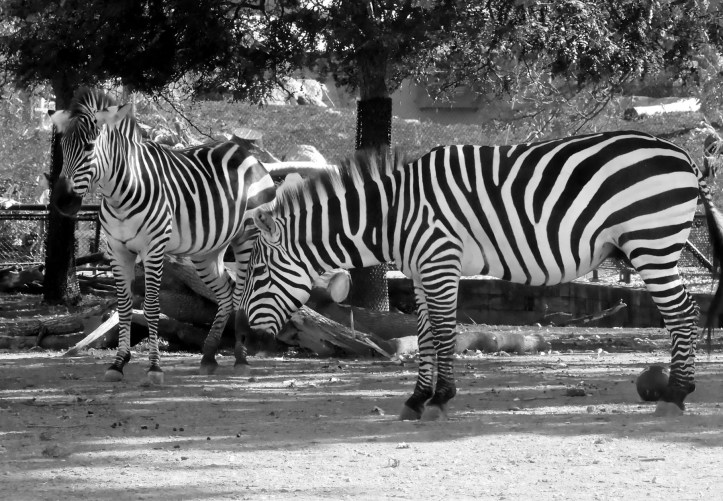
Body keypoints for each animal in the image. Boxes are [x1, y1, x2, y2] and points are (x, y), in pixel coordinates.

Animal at [50, 88, 275, 384]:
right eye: (62, 148)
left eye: (89, 147)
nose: (62, 202)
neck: (120, 193)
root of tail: (243, 151)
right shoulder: (117, 251)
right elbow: (124, 307)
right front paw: (118, 364)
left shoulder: (153, 249)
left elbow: (152, 307)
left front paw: (154, 368)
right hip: (207, 251)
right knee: (226, 294)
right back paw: (209, 356)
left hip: (247, 237)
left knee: (241, 293)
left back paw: (240, 358)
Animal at [237, 131, 723, 419]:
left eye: (258, 271)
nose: (245, 336)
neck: (392, 216)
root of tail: (682, 154)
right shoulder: (420, 271)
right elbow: (425, 336)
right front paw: (417, 399)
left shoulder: (440, 262)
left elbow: (445, 333)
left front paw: (439, 399)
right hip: (654, 245)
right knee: (682, 315)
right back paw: (677, 391)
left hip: (651, 243)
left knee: (682, 315)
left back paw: (676, 394)